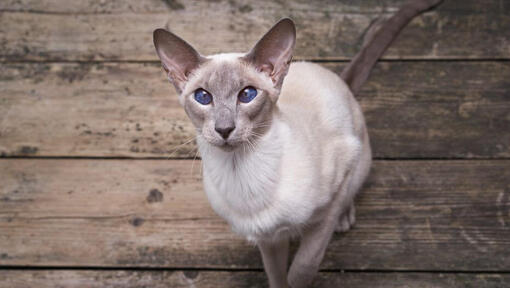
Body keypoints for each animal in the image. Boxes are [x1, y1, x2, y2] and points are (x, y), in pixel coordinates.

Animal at [152, 0, 442, 286]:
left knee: (351, 189)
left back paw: (345, 219)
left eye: (247, 94)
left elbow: (303, 267)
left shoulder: (328, 205)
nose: (224, 129)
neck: (242, 172)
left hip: (358, 157)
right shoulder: (269, 238)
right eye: (203, 97)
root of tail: (338, 79)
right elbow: (276, 276)